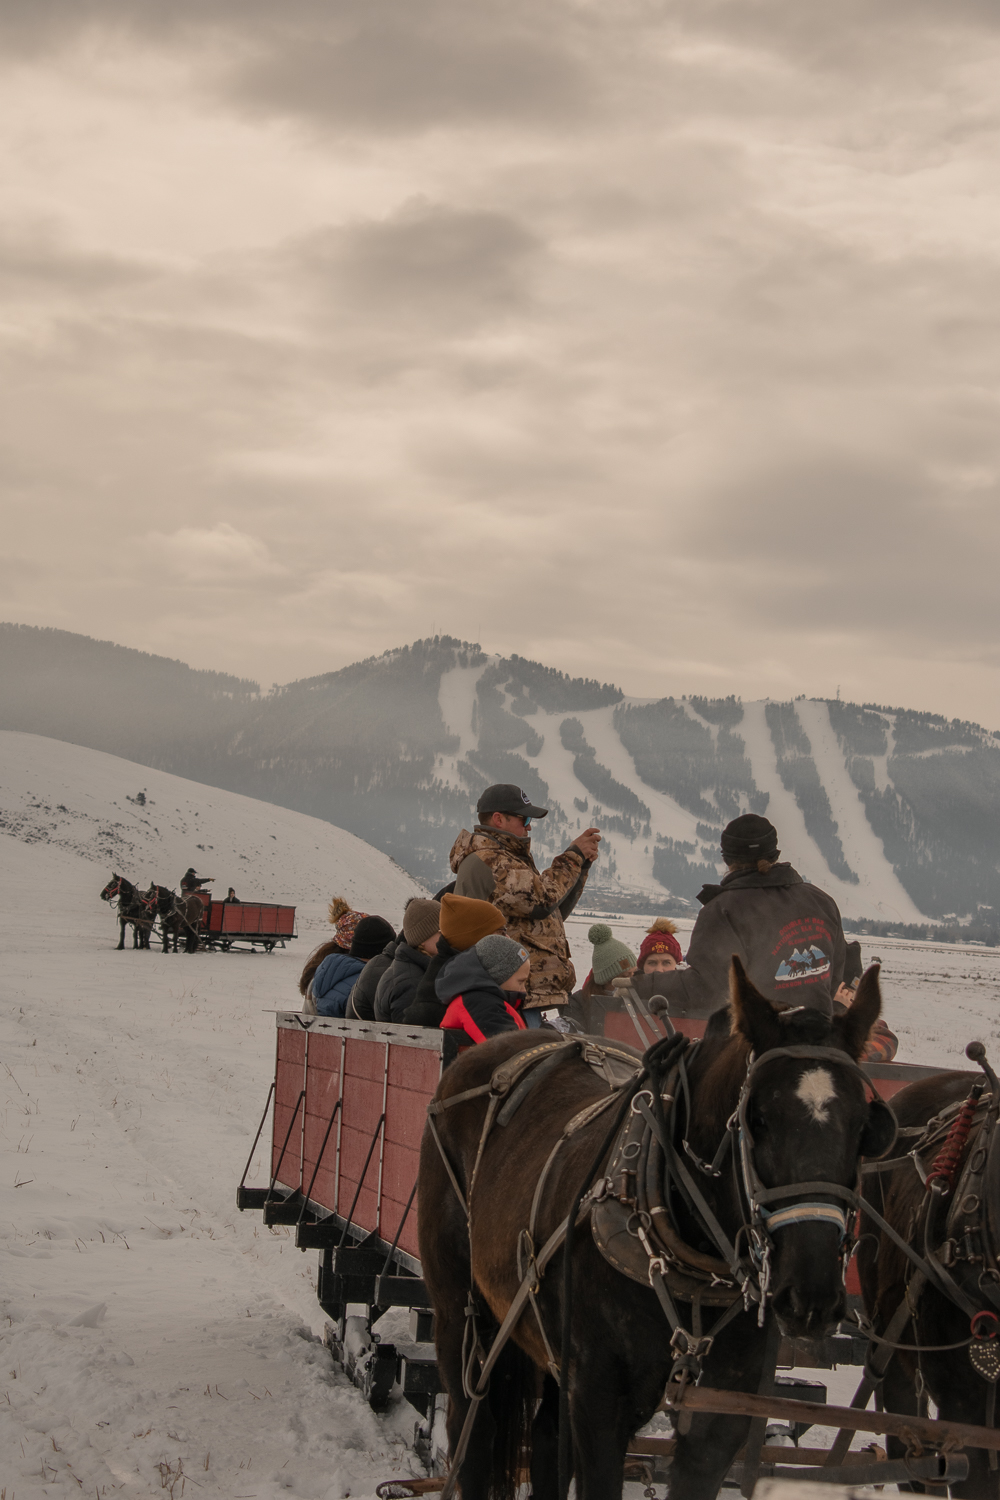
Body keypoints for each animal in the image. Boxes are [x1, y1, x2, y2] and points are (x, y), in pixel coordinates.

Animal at [419, 960, 893, 1500]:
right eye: (758, 1119)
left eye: (866, 1128)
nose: (810, 1296)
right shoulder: (598, 1400)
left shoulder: (719, 1416)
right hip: (463, 1313)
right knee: (473, 1430)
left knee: (545, 1442)